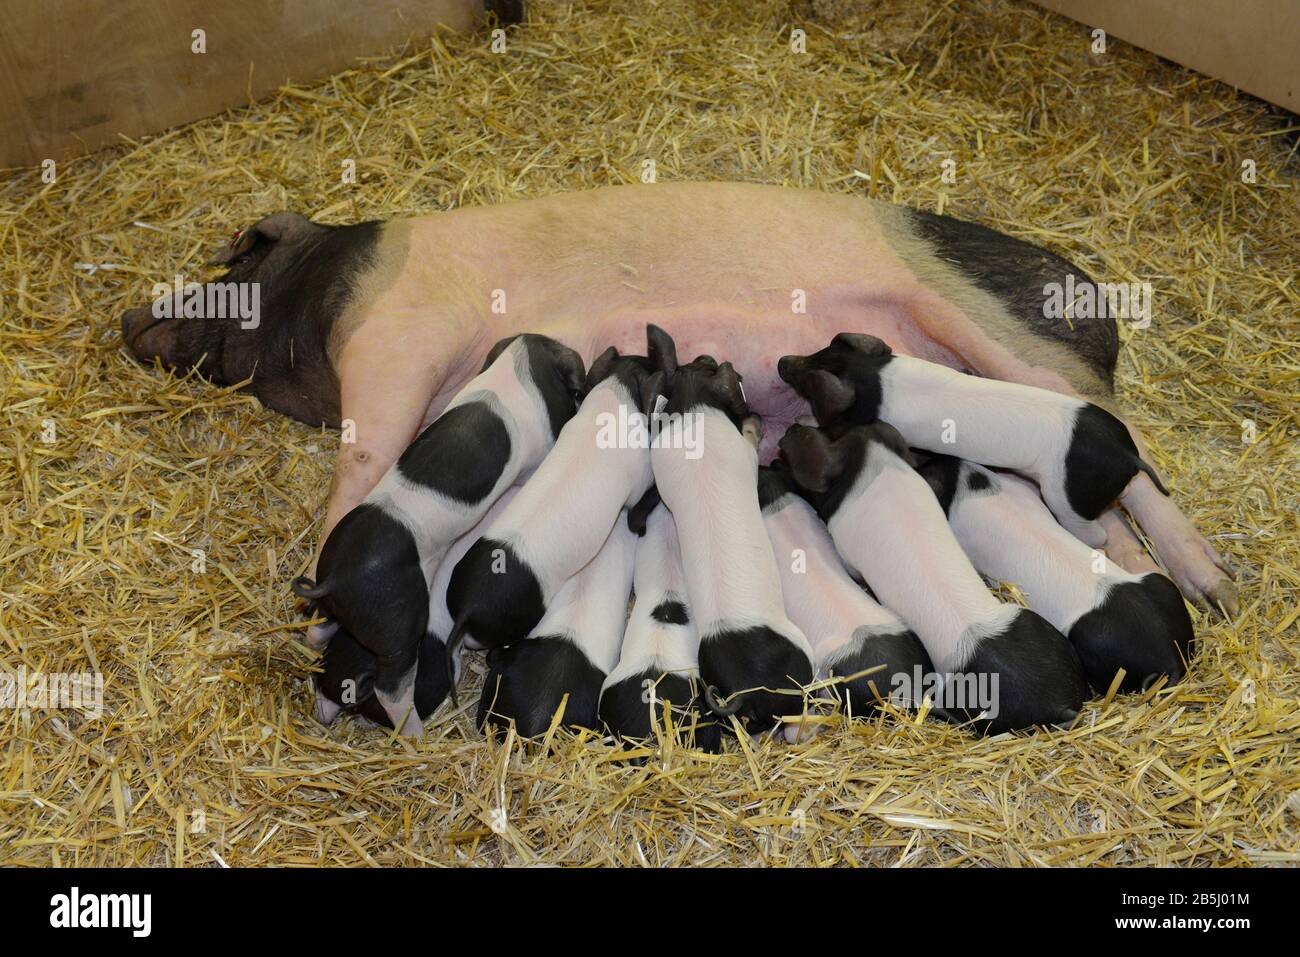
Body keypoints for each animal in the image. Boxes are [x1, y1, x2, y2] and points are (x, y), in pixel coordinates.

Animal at [116, 180, 1232, 613]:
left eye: (231, 265)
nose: (127, 320)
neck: (328, 303)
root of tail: (1096, 305)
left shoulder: (400, 340)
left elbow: (369, 451)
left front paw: (322, 563)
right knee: (1095, 493)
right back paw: (1152, 577)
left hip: (999, 338)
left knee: (1123, 447)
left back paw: (1216, 583)